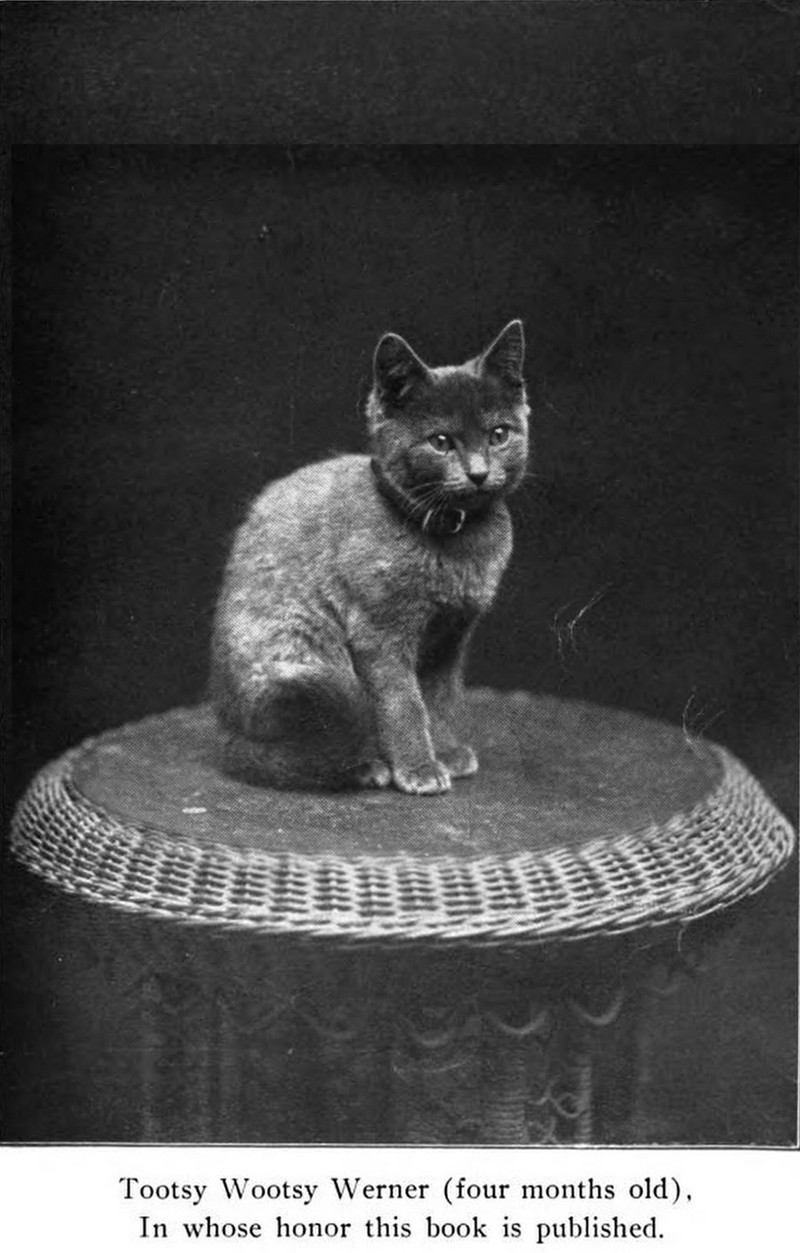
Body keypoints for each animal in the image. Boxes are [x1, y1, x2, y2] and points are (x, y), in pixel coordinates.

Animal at [210, 320, 529, 795]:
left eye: (498, 435)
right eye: (440, 442)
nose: (478, 472)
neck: (453, 542)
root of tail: (226, 726)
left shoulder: (452, 636)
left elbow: (441, 698)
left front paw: (447, 753)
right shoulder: (379, 633)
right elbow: (404, 703)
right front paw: (419, 768)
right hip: (305, 657)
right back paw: (365, 765)